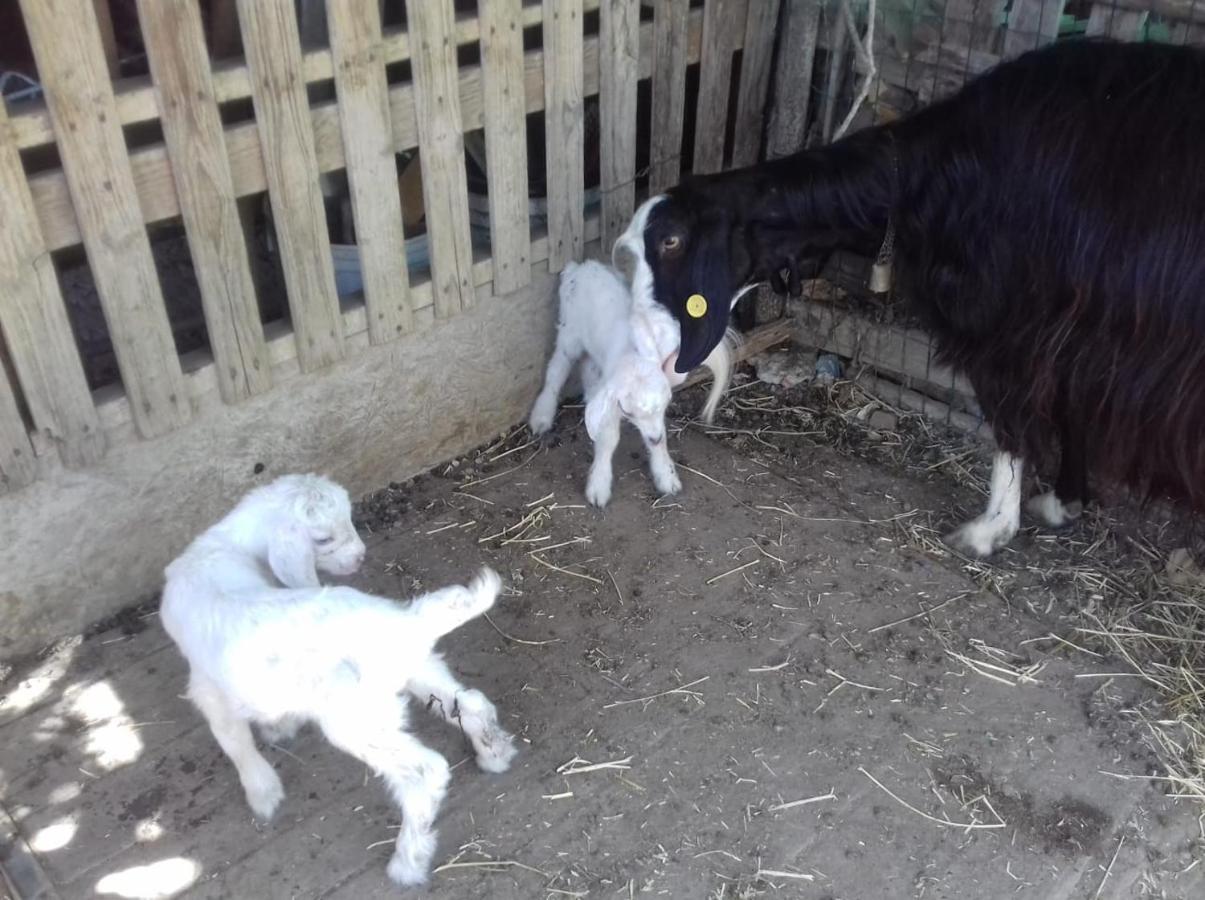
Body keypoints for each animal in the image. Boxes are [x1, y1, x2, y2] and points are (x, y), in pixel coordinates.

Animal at [616, 40, 1205, 556]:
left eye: (671, 242)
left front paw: (991, 530)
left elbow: (1013, 419)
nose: (644, 345)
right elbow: (1072, 406)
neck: (931, 175)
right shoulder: (1078, 332)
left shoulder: (1009, 325)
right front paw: (1065, 501)